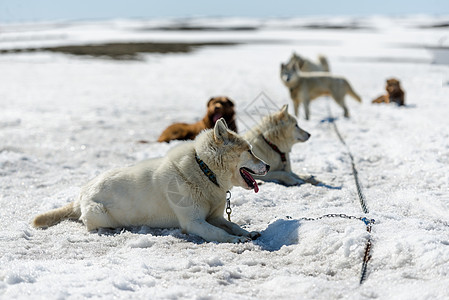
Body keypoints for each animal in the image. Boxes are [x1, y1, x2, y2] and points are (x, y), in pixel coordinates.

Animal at [33, 118, 270, 243]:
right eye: (250, 150)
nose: (267, 166)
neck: (204, 170)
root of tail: (81, 193)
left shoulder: (214, 217)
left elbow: (233, 225)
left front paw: (247, 233)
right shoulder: (194, 222)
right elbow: (219, 233)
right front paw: (236, 239)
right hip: (100, 215)